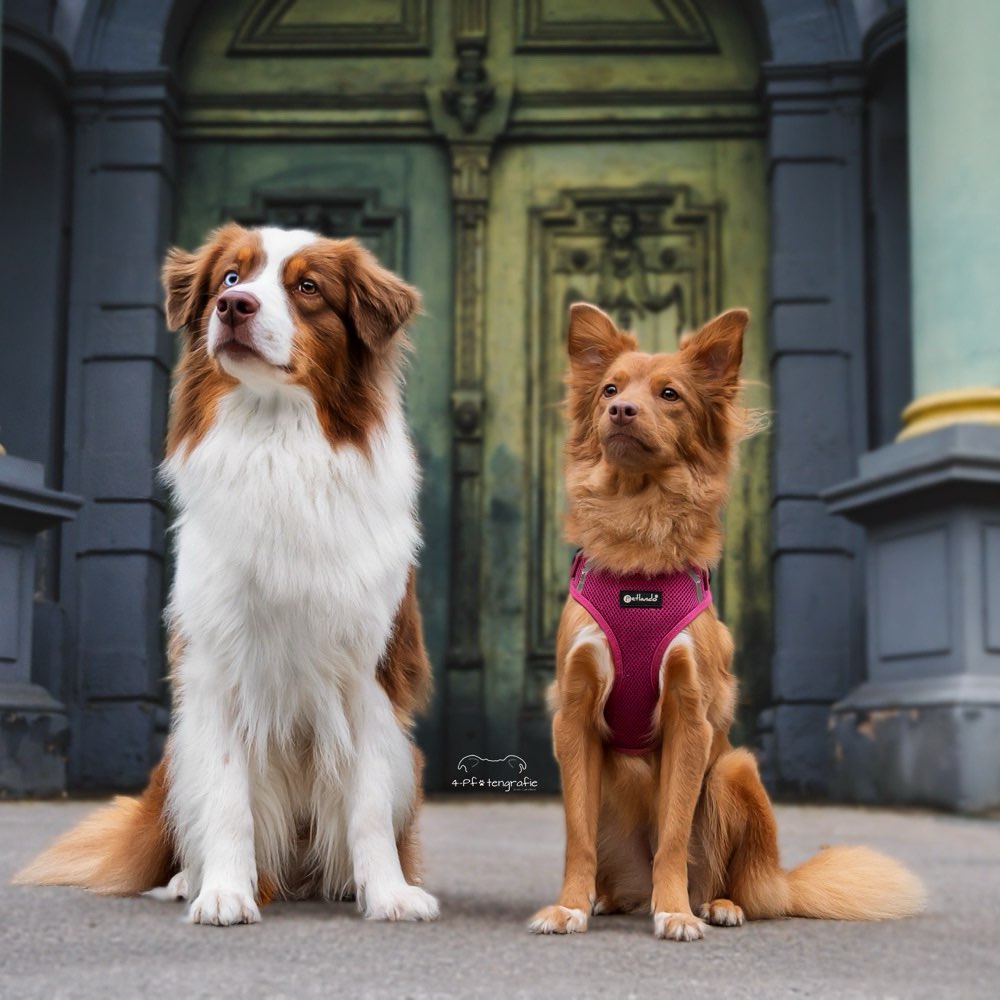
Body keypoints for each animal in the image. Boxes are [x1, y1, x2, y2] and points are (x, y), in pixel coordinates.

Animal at [15, 223, 438, 924]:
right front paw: (224, 892)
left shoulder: (373, 668)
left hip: (409, 756)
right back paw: (191, 878)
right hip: (176, 754)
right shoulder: (218, 664)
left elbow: (370, 804)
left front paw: (389, 893)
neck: (277, 437)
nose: (233, 308)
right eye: (231, 279)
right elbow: (228, 797)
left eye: (307, 287)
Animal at [528, 302, 924, 936]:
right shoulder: (575, 714)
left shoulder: (692, 717)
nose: (620, 410)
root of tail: (778, 880)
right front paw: (568, 905)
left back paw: (713, 904)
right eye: (610, 388)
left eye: (669, 394)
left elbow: (672, 834)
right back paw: (607, 897)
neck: (638, 547)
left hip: (735, 769)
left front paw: (675, 912)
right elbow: (578, 836)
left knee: (730, 879)